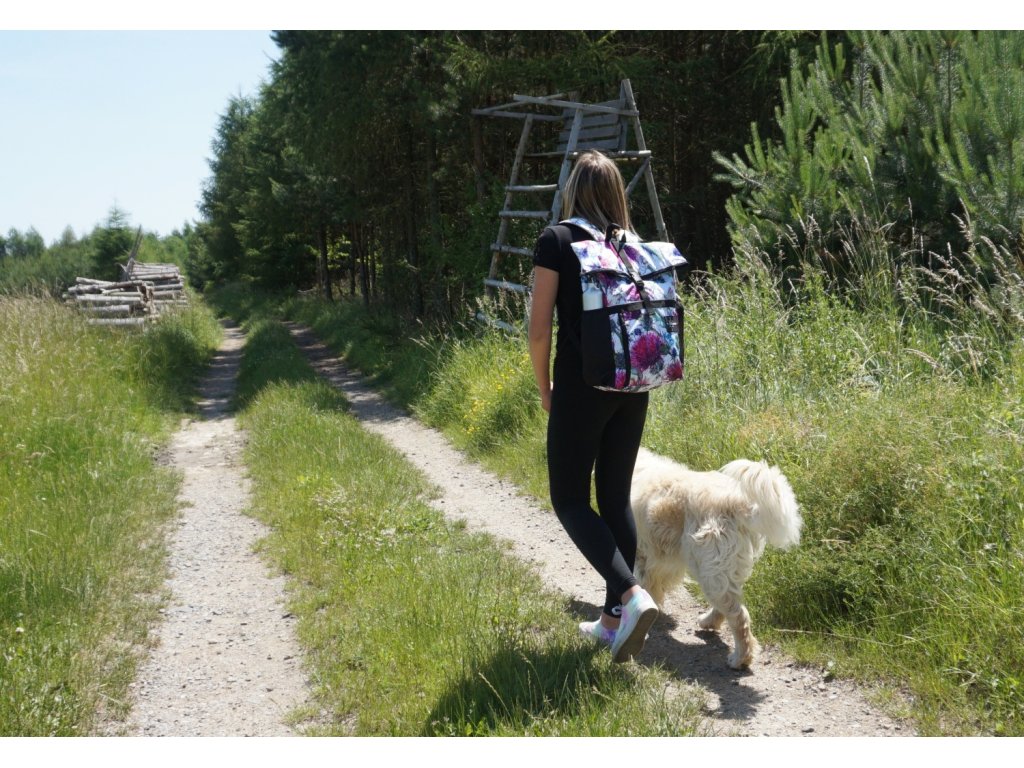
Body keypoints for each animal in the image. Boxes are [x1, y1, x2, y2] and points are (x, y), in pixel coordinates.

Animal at [630, 448, 798, 671]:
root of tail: (737, 504)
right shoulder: (659, 559)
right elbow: (652, 584)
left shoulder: (642, 553)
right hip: (720, 570)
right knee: (728, 604)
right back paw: (708, 621)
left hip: (709, 570)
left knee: (739, 617)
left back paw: (740, 658)